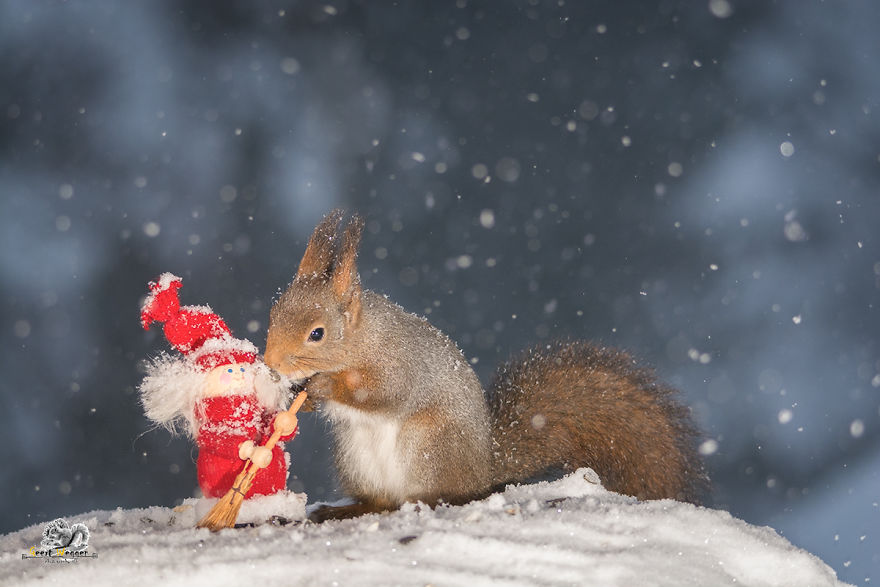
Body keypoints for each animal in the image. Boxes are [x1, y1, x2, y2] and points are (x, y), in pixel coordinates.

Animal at [262, 210, 708, 520]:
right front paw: (301, 394)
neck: (362, 340)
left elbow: (383, 393)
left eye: (317, 333)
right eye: (274, 312)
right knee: (381, 501)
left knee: (433, 495)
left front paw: (323, 388)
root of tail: (481, 470)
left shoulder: (401, 364)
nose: (270, 363)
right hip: (357, 457)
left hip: (429, 445)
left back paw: (423, 502)